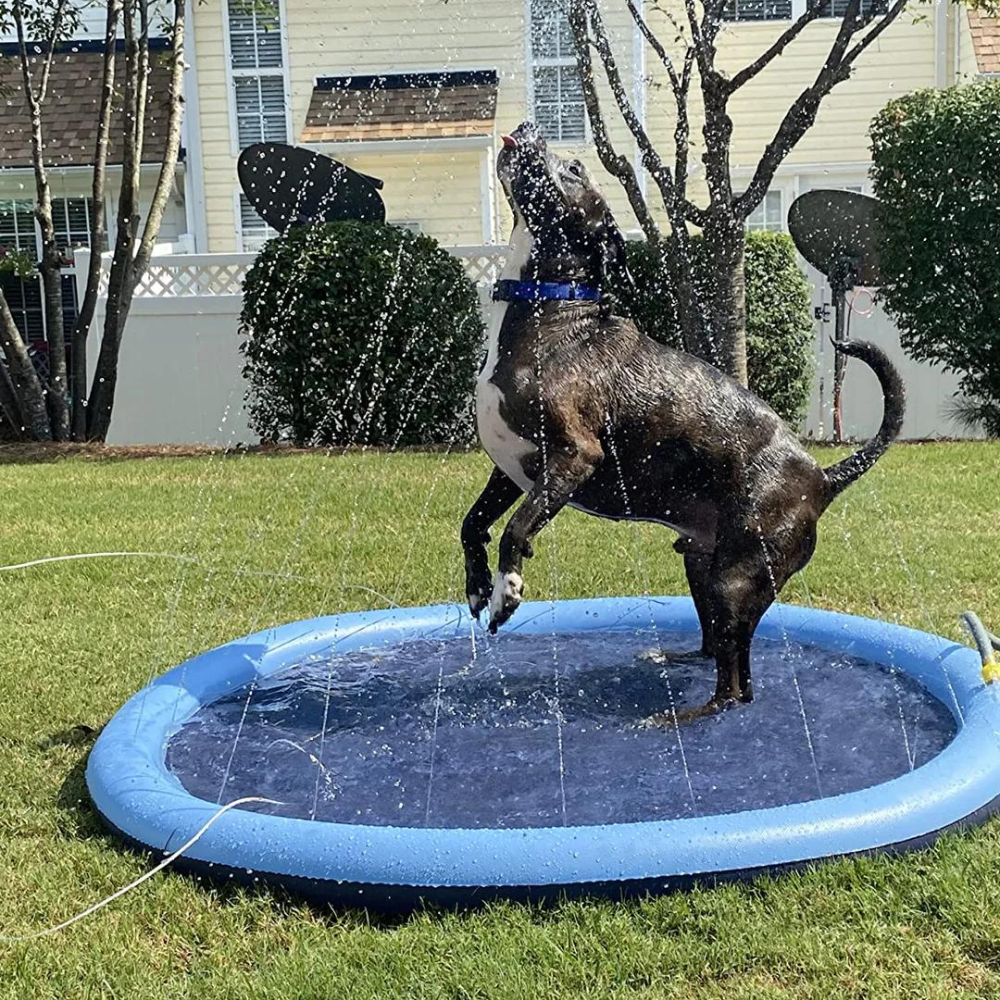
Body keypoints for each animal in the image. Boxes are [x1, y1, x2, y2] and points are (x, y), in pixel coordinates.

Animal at [460, 121, 908, 720]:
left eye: (574, 169)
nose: (531, 126)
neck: (553, 313)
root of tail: (820, 475)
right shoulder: (511, 467)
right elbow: (473, 524)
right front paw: (477, 585)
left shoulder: (573, 457)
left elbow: (516, 527)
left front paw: (506, 590)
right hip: (703, 561)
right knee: (716, 649)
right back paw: (672, 661)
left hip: (736, 577)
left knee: (737, 684)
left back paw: (682, 716)